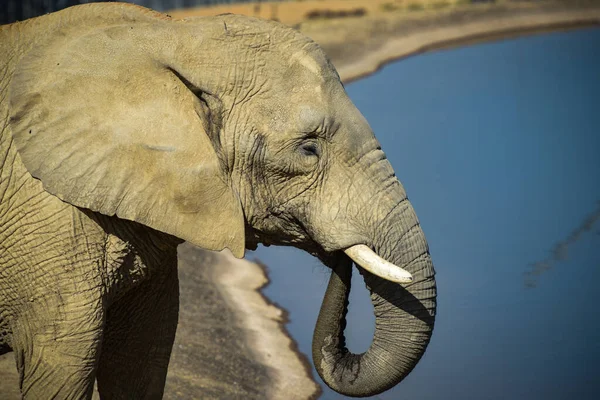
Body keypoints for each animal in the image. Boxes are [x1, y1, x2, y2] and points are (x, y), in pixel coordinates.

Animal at [0, 2, 436, 396]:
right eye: (309, 150)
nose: (336, 254)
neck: (171, 35)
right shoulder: (52, 230)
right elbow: (65, 365)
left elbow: (142, 355)